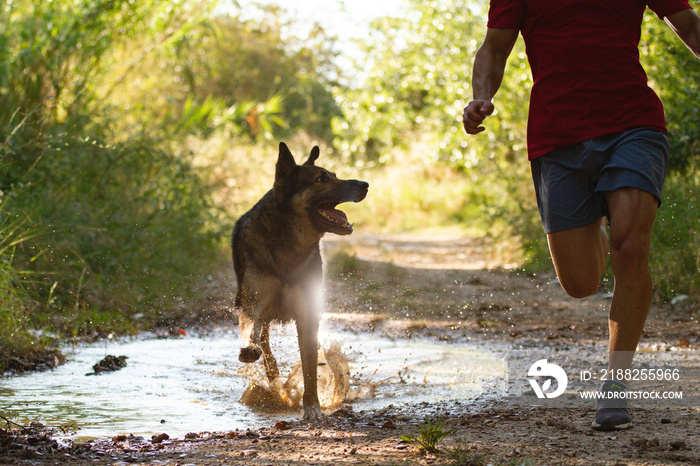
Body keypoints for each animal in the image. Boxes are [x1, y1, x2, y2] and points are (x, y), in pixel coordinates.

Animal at [232, 143, 370, 422]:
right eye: (321, 179)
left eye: (334, 175)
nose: (365, 184)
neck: (289, 245)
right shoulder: (253, 303)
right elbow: (250, 329)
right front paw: (249, 349)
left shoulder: (307, 313)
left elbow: (309, 367)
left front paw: (313, 407)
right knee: (264, 341)